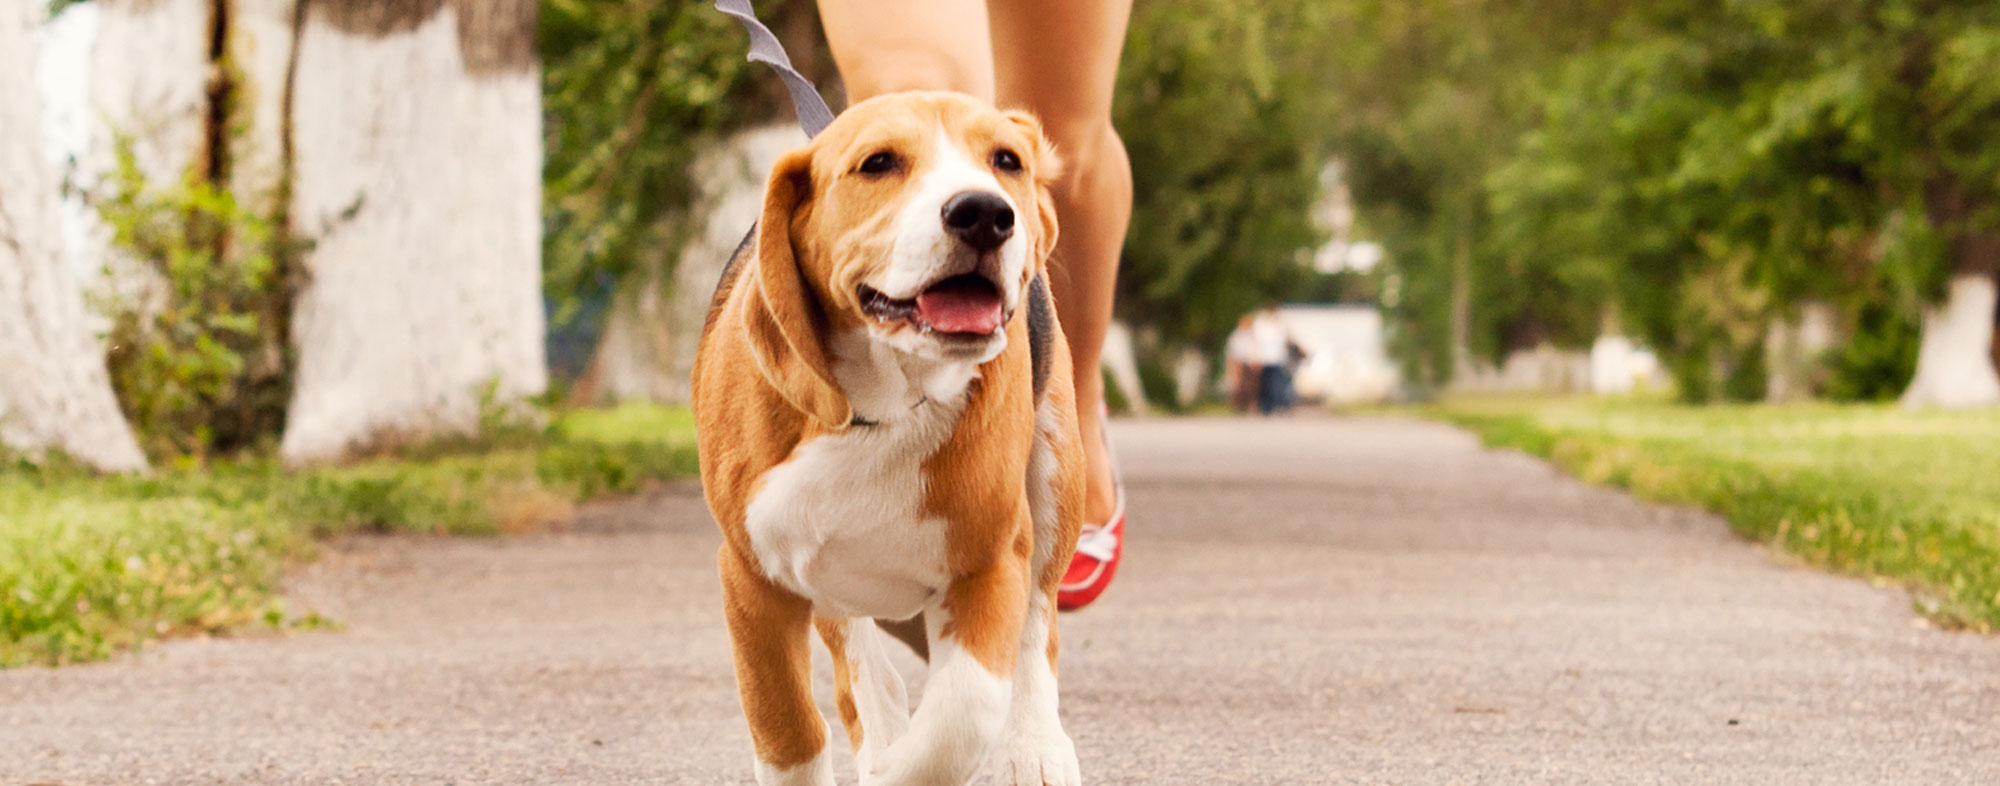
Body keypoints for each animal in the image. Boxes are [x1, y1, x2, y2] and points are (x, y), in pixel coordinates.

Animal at [692, 87, 1096, 784]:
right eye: (878, 163)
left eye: (1006, 160)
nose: (984, 213)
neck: (883, 406)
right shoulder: (750, 576)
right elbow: (787, 729)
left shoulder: (990, 564)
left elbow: (962, 715)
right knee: (861, 672)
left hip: (1054, 479)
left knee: (1036, 630)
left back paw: (1035, 747)